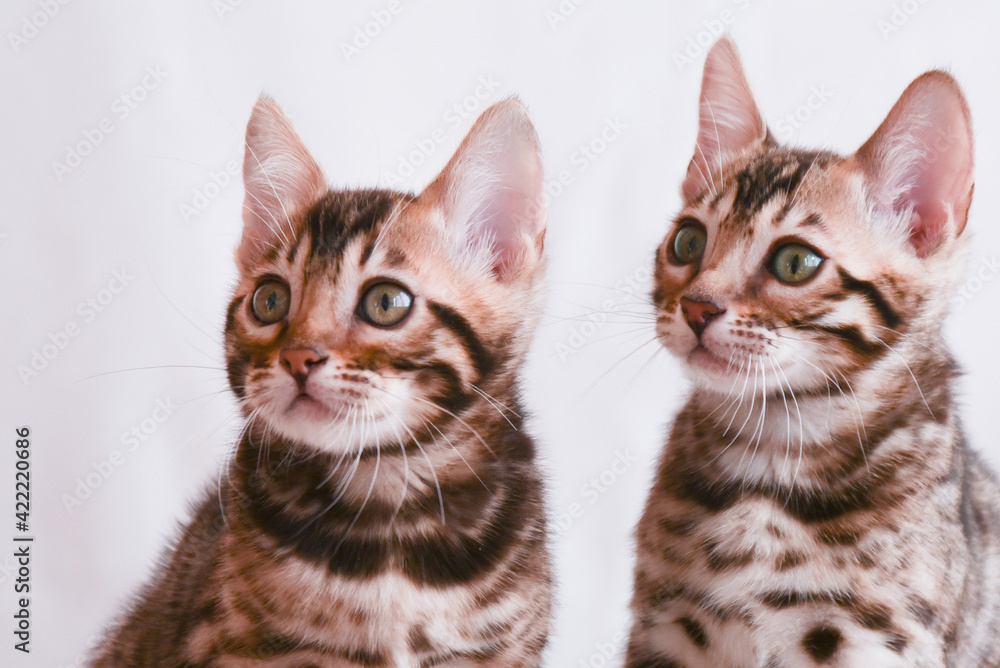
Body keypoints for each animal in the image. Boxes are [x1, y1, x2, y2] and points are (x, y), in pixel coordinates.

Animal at [624, 37, 1000, 668]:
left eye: (795, 262)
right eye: (688, 242)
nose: (697, 307)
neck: (773, 453)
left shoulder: (880, 638)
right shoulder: (662, 628)